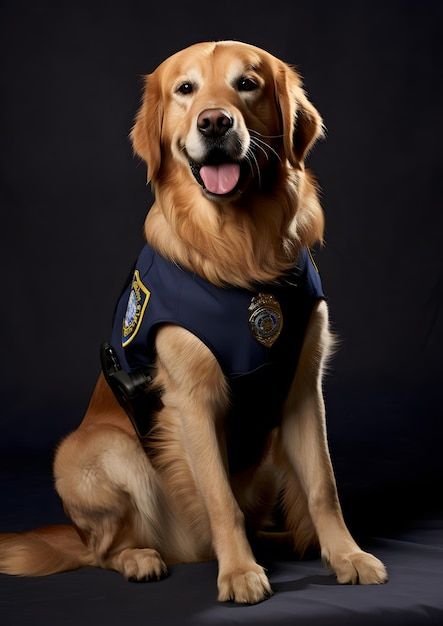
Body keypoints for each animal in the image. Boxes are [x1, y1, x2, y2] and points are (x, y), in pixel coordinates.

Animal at [0, 41, 388, 604]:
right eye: (186, 89)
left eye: (246, 84)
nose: (215, 121)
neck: (241, 252)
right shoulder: (192, 400)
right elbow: (220, 498)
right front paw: (241, 573)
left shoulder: (302, 387)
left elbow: (323, 487)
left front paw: (347, 555)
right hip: (90, 451)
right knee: (103, 549)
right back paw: (143, 557)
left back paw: (289, 539)